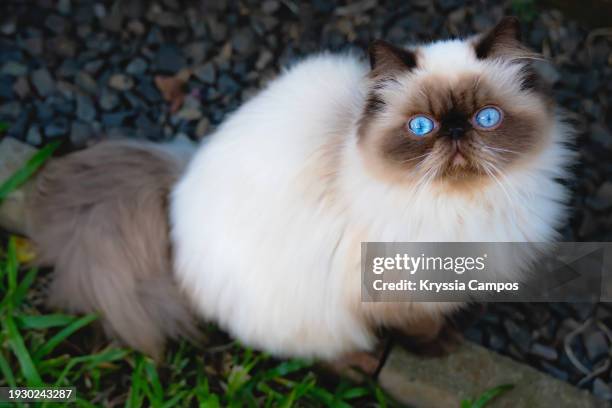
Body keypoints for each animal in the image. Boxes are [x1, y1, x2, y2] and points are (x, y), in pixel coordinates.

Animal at [20, 17, 572, 364]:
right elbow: (421, 328)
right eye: (421, 127)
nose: (455, 132)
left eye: (486, 119)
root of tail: (180, 183)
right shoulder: (397, 292)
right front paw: (442, 348)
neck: (461, 208)